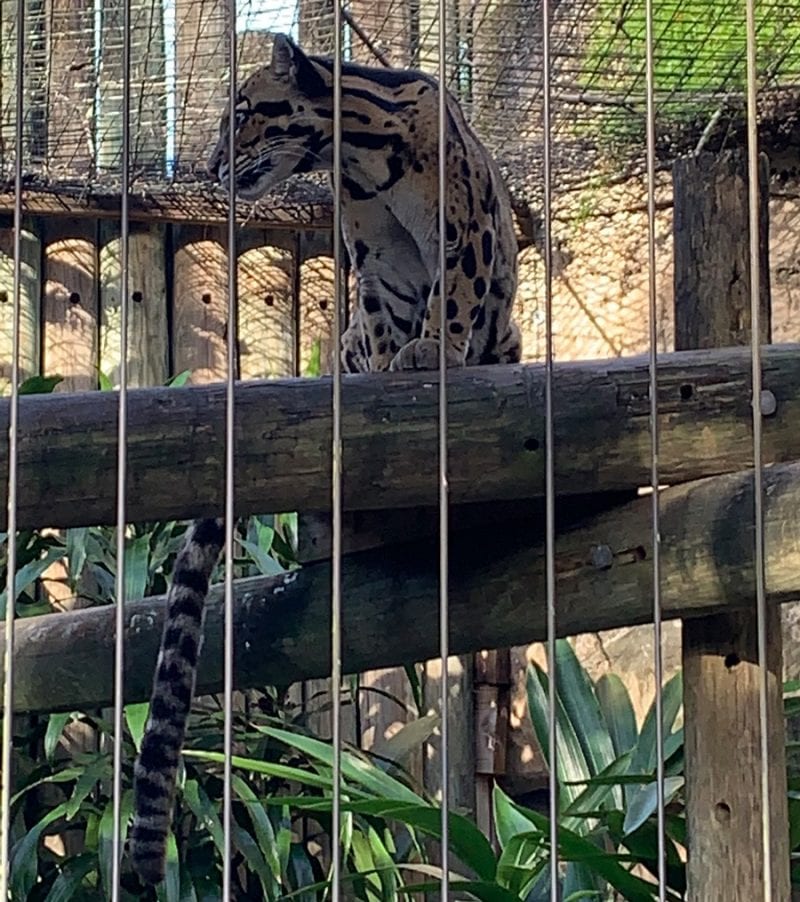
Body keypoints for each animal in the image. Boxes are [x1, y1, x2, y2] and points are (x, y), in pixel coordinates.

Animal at [131, 33, 520, 884]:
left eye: (243, 112)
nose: (211, 165)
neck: (359, 161)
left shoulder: (462, 229)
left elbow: (456, 292)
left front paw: (433, 352)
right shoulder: (377, 262)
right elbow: (387, 313)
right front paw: (390, 362)